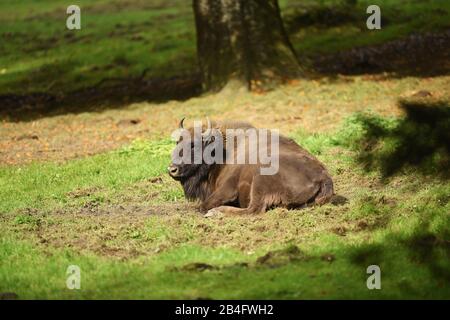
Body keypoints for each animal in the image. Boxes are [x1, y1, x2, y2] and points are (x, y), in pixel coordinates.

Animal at [169, 119, 334, 216]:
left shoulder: (227, 189)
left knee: (253, 210)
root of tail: (324, 178)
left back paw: (217, 212)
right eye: (177, 142)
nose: (172, 169)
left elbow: (203, 206)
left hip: (260, 179)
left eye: (193, 145)